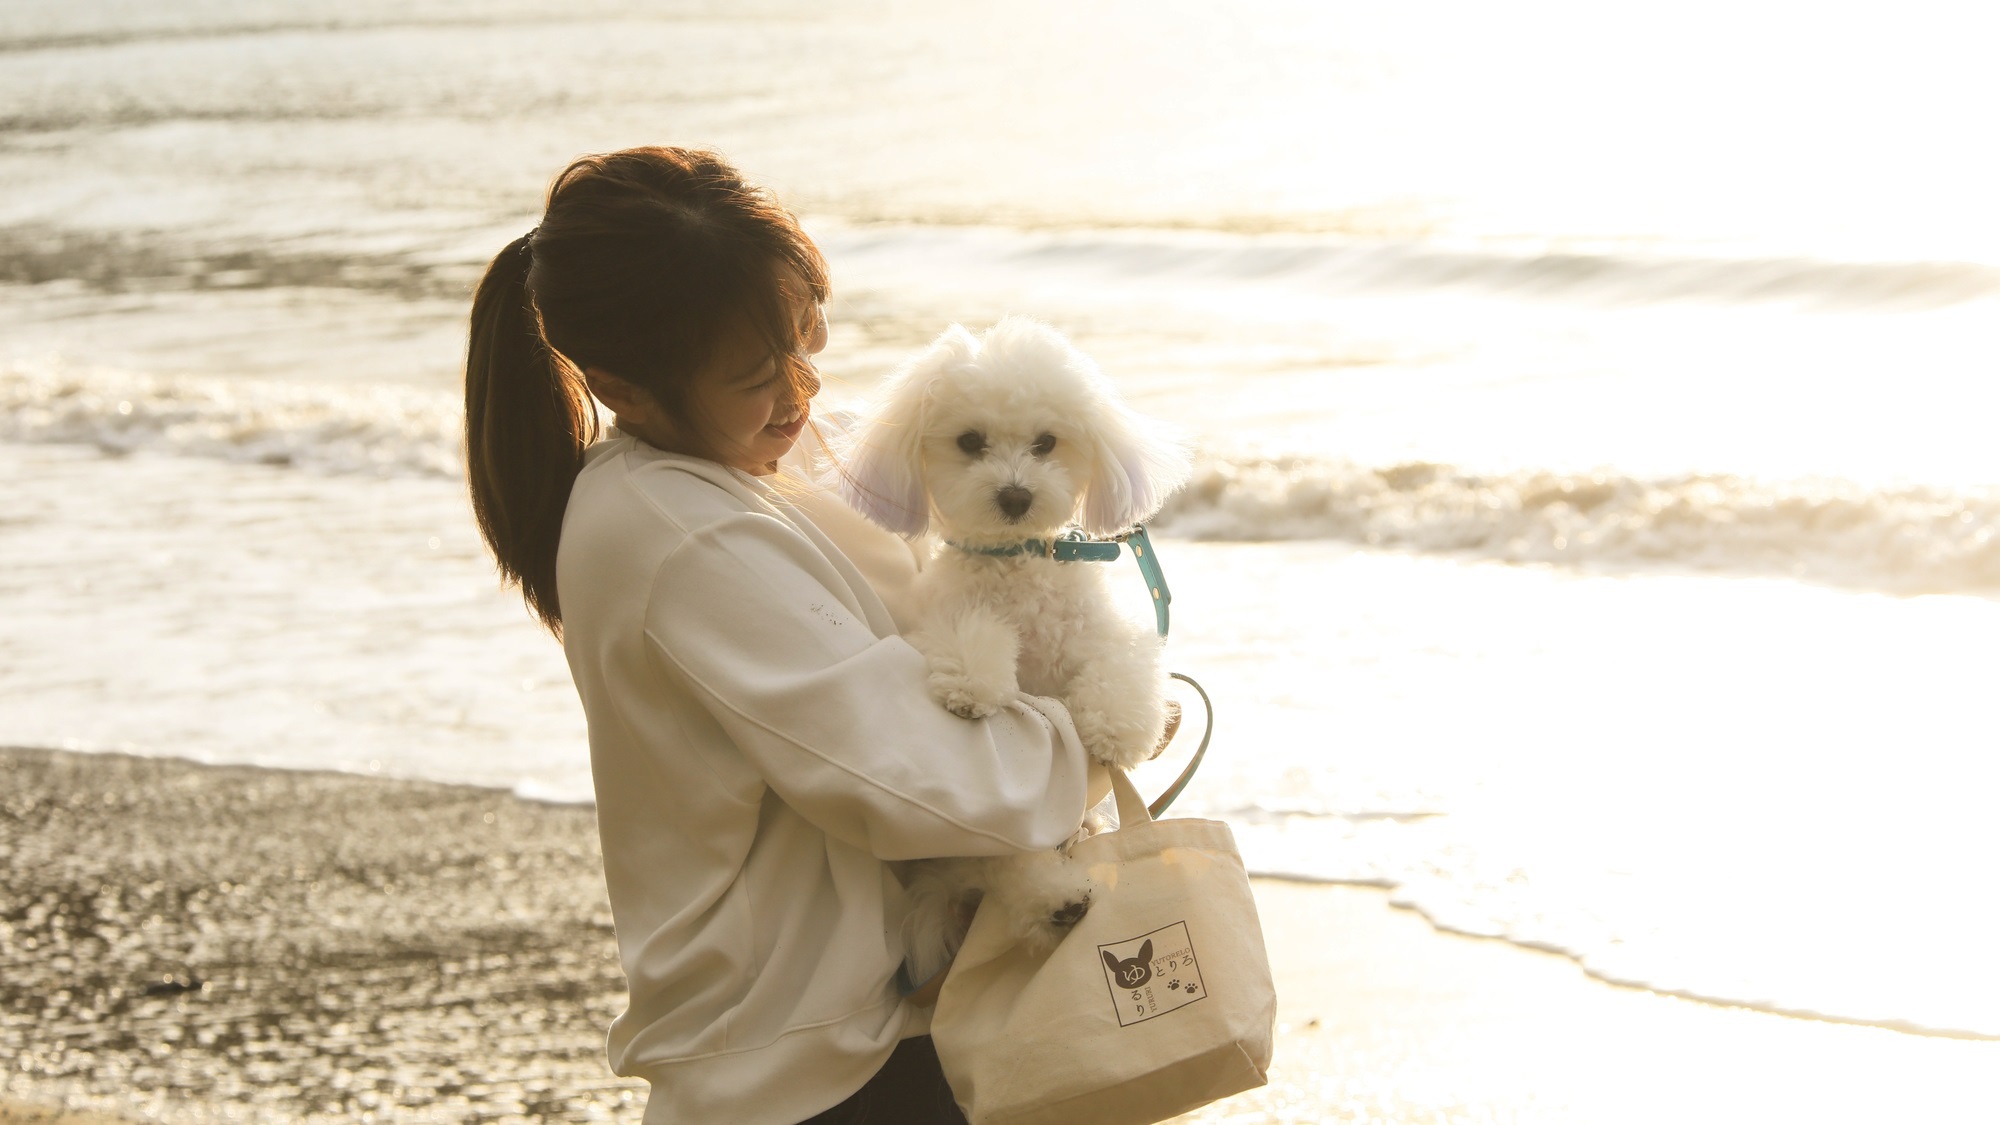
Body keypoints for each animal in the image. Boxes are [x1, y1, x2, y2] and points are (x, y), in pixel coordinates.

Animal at [840, 318, 1184, 980]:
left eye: (1047, 442)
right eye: (970, 441)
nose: (1016, 497)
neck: (1017, 562)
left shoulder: (1104, 635)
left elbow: (1117, 668)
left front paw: (1117, 728)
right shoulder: (946, 621)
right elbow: (970, 642)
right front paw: (974, 687)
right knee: (1004, 859)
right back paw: (1055, 901)